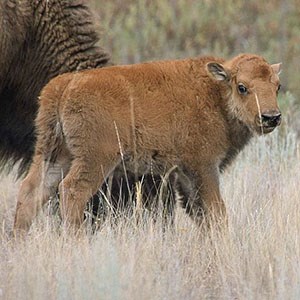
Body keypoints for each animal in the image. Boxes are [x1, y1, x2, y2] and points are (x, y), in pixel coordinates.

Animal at [13, 53, 282, 232]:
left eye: (277, 86)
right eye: (242, 87)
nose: (271, 117)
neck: (216, 94)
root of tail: (64, 86)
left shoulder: (184, 175)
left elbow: (199, 213)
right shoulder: (204, 167)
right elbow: (216, 212)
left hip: (54, 154)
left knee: (31, 191)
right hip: (95, 159)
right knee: (72, 191)